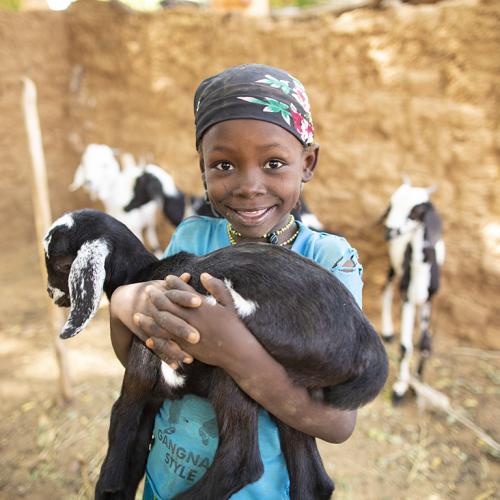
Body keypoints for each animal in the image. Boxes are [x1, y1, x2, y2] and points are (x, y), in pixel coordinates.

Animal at [44, 209, 386, 498]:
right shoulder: (151, 401)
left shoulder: (137, 383)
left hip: (240, 358)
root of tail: (366, 344)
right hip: (294, 397)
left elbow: (116, 452)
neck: (144, 276)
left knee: (242, 460)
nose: (50, 293)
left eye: (60, 264)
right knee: (313, 478)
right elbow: (135, 455)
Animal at [378, 182, 446, 404]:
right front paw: (400, 388)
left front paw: (418, 385)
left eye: (416, 211)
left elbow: (425, 344)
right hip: (394, 267)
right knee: (386, 287)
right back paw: (388, 331)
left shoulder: (429, 300)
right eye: (391, 204)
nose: (389, 230)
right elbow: (405, 346)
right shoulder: (406, 297)